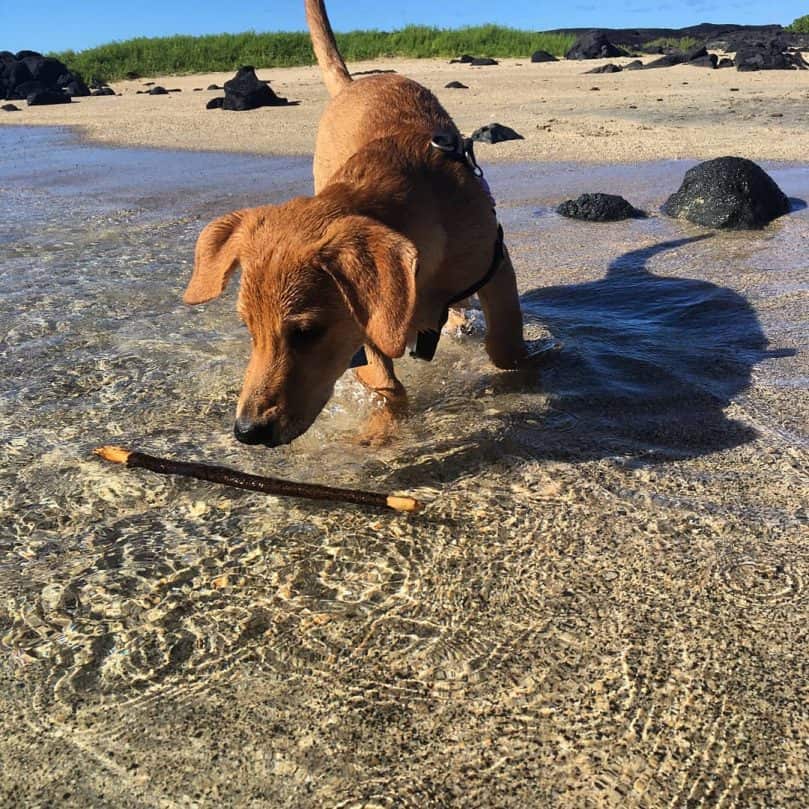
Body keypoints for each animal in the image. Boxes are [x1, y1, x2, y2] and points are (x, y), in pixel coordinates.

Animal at [180, 0, 540, 446]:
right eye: (248, 327)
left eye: (306, 333)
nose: (247, 432)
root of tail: (356, 83)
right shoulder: (368, 317)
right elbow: (387, 384)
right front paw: (382, 430)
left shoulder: (496, 267)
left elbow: (505, 346)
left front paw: (525, 381)